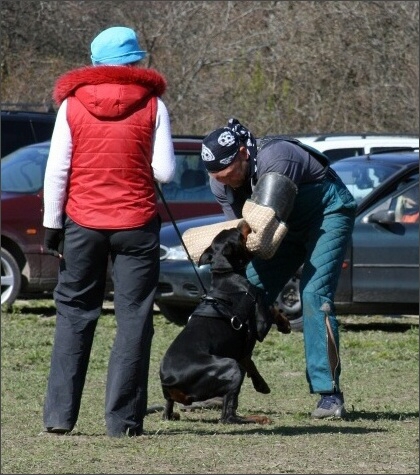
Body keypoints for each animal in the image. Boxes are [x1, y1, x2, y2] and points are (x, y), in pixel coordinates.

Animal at [159, 223, 290, 428]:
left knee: (167, 411)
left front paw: (260, 383)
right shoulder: (259, 321)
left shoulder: (241, 347)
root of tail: (171, 381)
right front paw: (284, 323)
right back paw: (257, 418)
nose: (242, 223)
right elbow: (271, 309)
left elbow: (248, 360)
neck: (226, 275)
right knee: (227, 416)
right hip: (230, 367)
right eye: (239, 233)